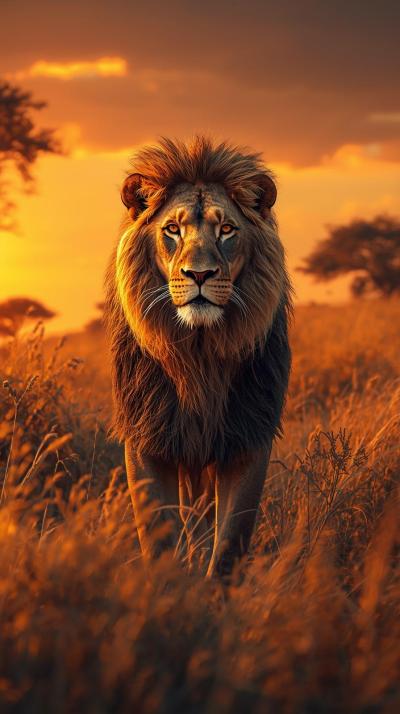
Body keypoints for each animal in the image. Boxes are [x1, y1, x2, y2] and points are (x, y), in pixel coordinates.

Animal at [105, 136, 292, 577]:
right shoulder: (148, 437)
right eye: (172, 229)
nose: (200, 274)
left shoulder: (248, 436)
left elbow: (230, 543)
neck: (199, 354)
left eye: (226, 230)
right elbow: (159, 534)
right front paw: (174, 586)